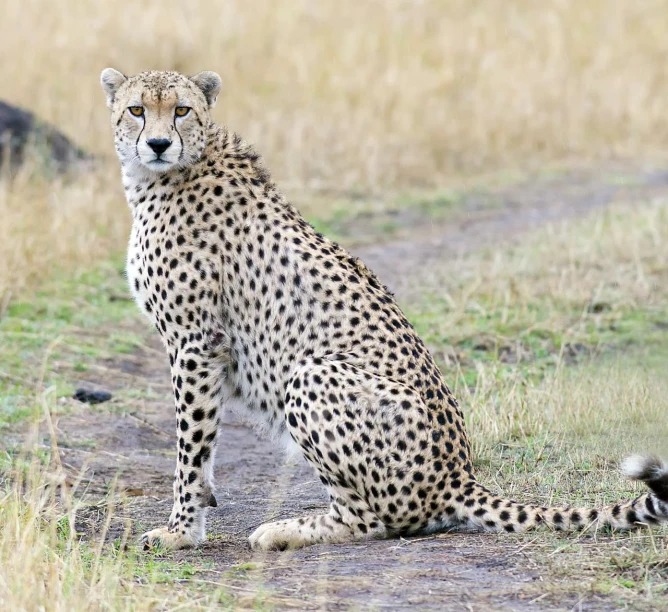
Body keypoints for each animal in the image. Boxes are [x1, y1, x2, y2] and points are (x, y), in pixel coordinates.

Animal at [99, 69, 668, 552]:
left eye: (181, 110)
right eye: (136, 109)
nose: (157, 144)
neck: (168, 175)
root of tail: (460, 474)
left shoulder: (196, 344)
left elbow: (191, 449)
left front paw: (180, 532)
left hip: (311, 375)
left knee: (375, 520)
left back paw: (285, 530)